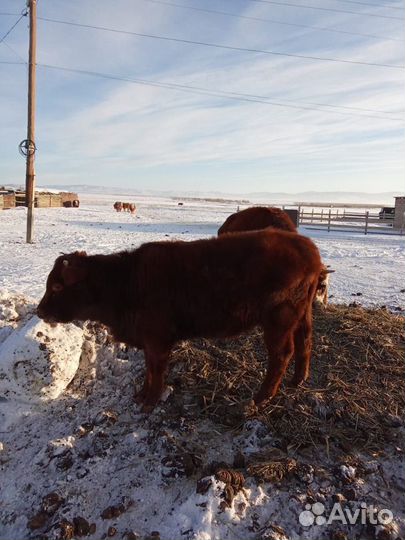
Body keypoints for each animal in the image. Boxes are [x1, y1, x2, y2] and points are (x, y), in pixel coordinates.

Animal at [38, 230, 322, 412]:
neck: (126, 282)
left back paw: (261, 399)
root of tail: (308, 248)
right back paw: (298, 380)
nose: (40, 312)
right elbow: (149, 370)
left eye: (58, 286)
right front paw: (142, 395)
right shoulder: (149, 342)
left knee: (282, 354)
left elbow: (155, 371)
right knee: (305, 342)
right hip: (301, 317)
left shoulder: (157, 341)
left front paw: (150, 401)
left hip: (278, 321)